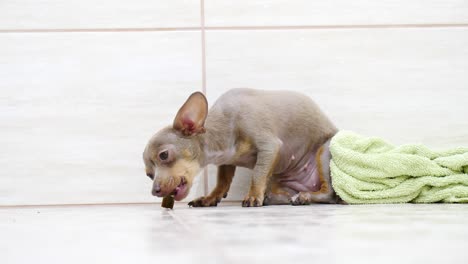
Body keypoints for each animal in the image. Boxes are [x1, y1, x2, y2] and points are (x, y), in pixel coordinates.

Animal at [144, 88, 340, 206]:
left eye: (164, 155)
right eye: (149, 175)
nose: (154, 191)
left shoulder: (269, 146)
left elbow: (257, 174)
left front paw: (253, 196)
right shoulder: (226, 162)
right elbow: (222, 181)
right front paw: (210, 197)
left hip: (324, 153)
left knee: (328, 193)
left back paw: (304, 196)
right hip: (277, 178)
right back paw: (280, 197)